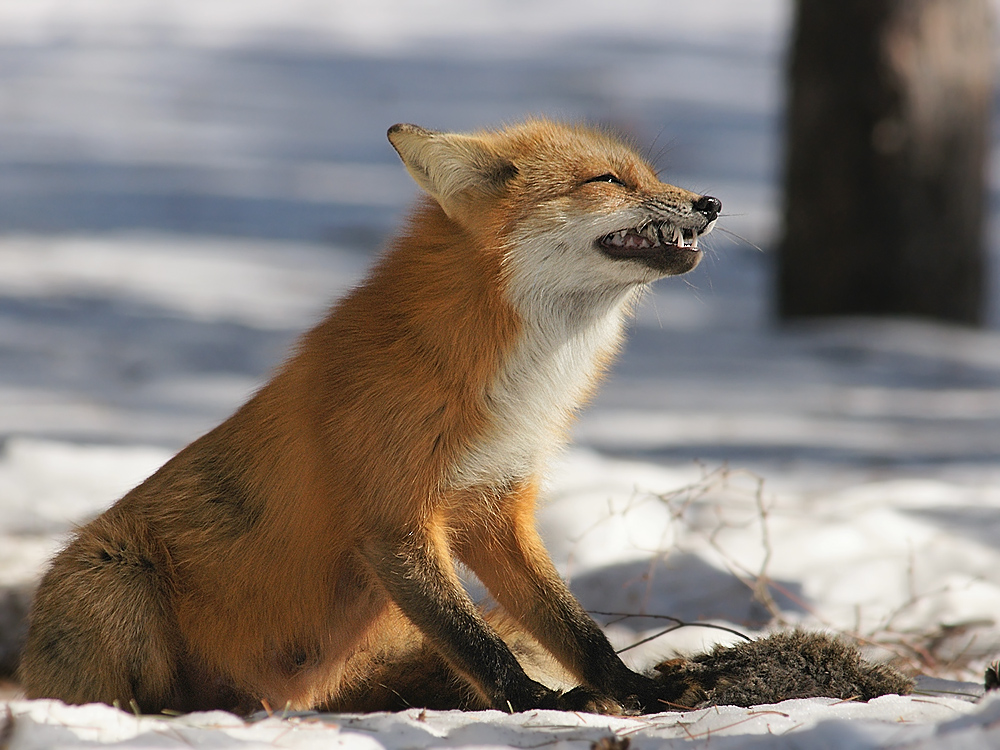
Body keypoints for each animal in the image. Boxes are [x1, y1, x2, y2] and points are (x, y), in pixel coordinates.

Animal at [19, 120, 724, 720]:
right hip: (115, 577)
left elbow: (579, 631)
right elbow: (479, 646)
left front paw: (640, 692)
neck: (513, 385)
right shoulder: (396, 522)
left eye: (651, 176)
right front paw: (546, 705)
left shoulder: (497, 508)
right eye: (608, 181)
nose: (712, 202)